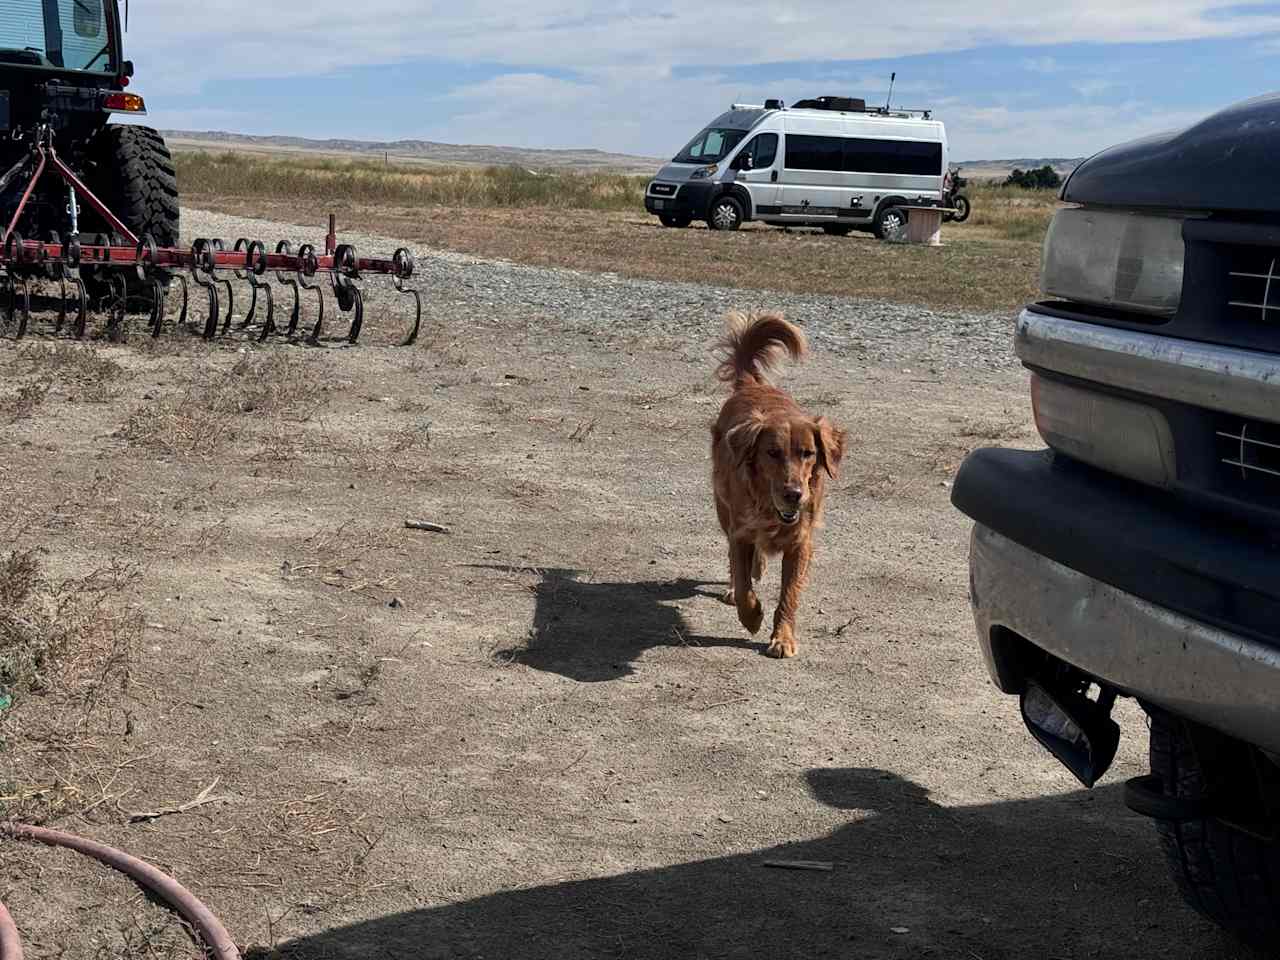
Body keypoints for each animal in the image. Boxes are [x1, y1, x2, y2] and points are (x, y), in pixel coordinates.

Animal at [716, 316, 844, 660]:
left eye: (808, 453)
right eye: (772, 452)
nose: (794, 495)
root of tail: (752, 385)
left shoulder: (800, 543)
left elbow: (789, 595)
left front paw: (783, 638)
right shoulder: (741, 532)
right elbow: (743, 584)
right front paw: (751, 616)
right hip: (722, 508)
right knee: (735, 561)